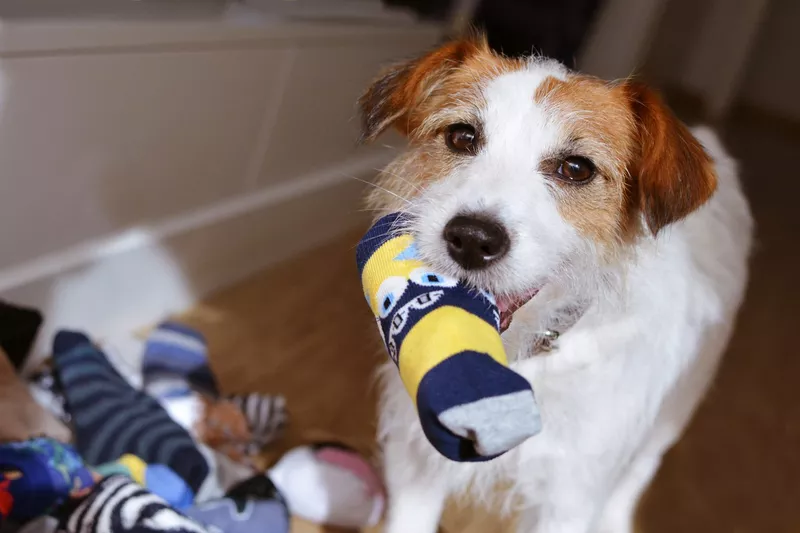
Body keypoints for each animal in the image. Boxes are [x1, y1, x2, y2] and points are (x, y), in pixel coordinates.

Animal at [360, 34, 752, 532]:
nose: (471, 239)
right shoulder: (414, 461)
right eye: (462, 136)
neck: (521, 358)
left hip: (672, 416)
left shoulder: (569, 500)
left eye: (576, 168)